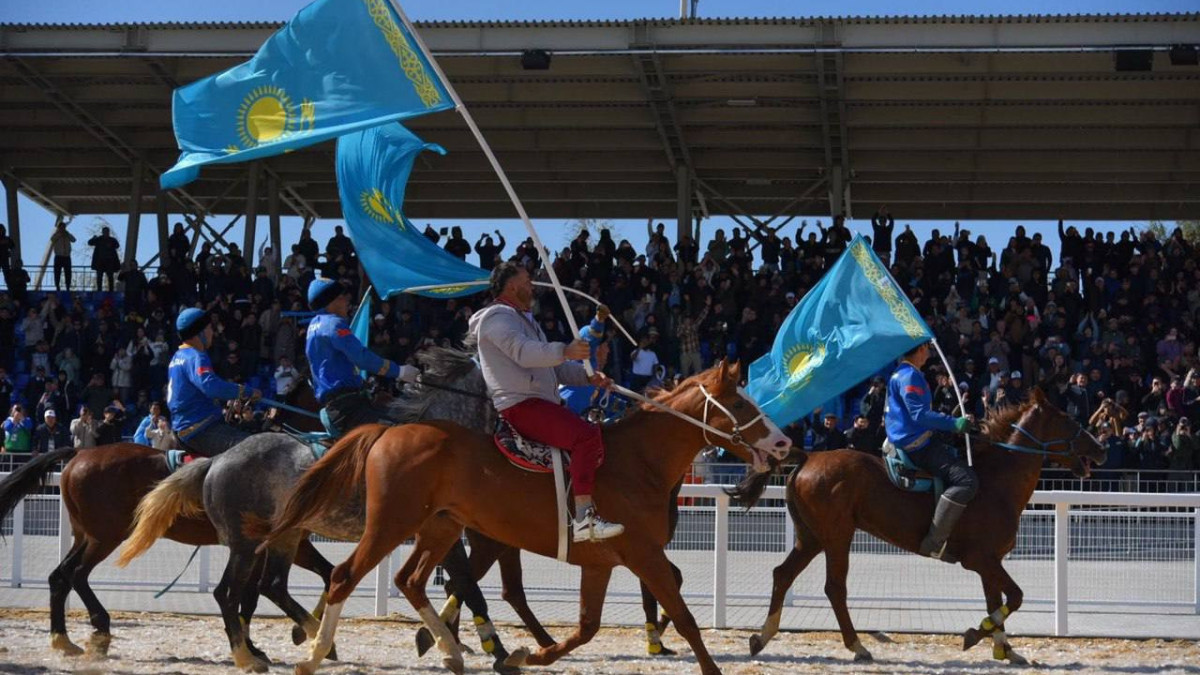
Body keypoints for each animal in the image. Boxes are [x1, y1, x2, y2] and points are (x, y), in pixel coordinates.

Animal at [258, 360, 792, 672]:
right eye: (739, 401)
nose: (784, 442)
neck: (636, 460)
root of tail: (390, 432)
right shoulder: (645, 554)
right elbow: (684, 618)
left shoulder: (601, 563)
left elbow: (586, 627)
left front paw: (528, 653)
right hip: (391, 524)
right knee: (344, 577)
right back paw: (314, 653)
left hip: (440, 526)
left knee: (411, 580)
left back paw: (449, 649)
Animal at [729, 386, 1104, 662]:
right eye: (1067, 418)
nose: (1099, 447)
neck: (995, 483)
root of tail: (809, 456)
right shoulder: (981, 559)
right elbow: (1014, 596)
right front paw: (975, 634)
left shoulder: (990, 563)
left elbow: (996, 601)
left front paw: (1005, 649)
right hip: (837, 536)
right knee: (834, 588)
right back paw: (857, 645)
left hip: (810, 538)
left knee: (783, 574)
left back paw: (761, 638)